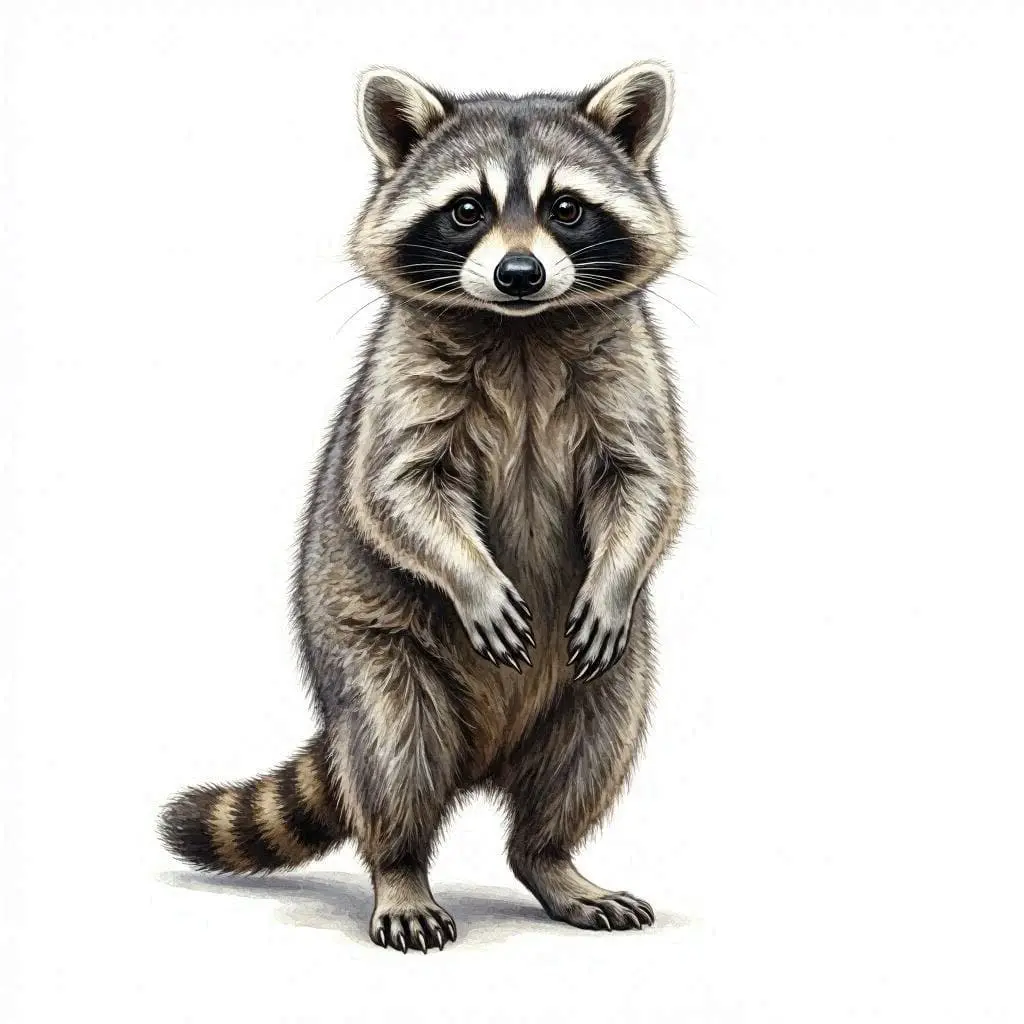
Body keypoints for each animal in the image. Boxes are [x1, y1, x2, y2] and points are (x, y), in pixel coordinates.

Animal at [160, 62, 691, 953]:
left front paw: (617, 575)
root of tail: (485, 756)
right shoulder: (400, 373)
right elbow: (395, 488)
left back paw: (552, 858)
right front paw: (471, 577)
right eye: (467, 210)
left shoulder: (630, 364)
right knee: (393, 761)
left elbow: (649, 479)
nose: (519, 275)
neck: (521, 329)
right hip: (374, 654)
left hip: (614, 676)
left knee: (589, 752)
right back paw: (401, 869)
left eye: (567, 209)